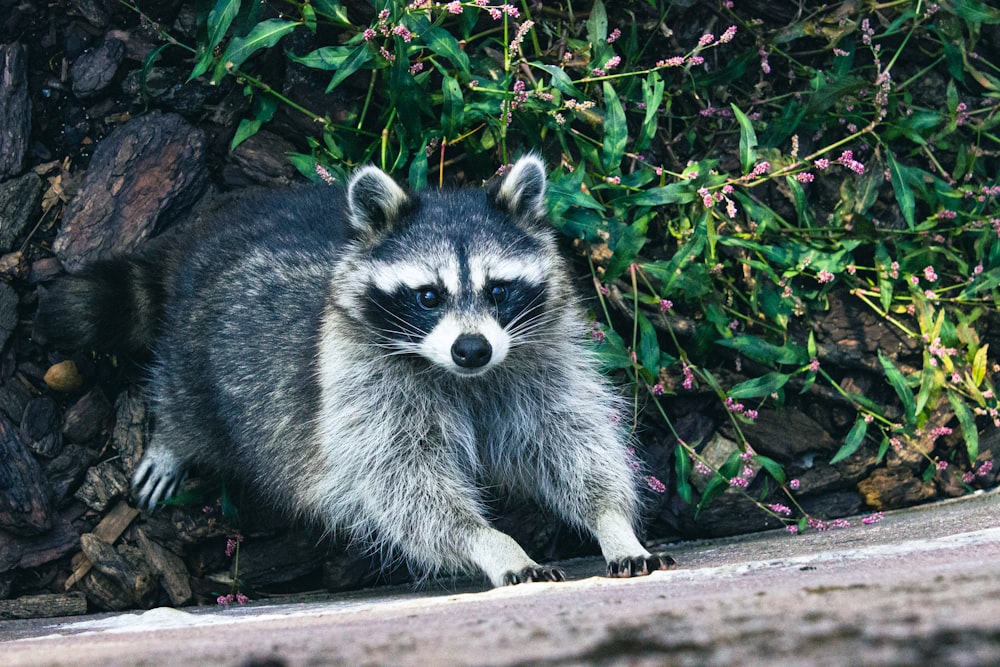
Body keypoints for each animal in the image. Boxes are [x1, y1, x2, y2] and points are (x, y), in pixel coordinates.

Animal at [41, 155, 680, 584]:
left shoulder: (539, 361)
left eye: (499, 290)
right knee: (186, 400)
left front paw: (611, 520)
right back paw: (173, 437)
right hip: (193, 351)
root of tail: (208, 233)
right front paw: (491, 542)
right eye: (428, 296)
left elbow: (569, 441)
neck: (462, 379)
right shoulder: (364, 389)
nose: (472, 349)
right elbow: (406, 485)